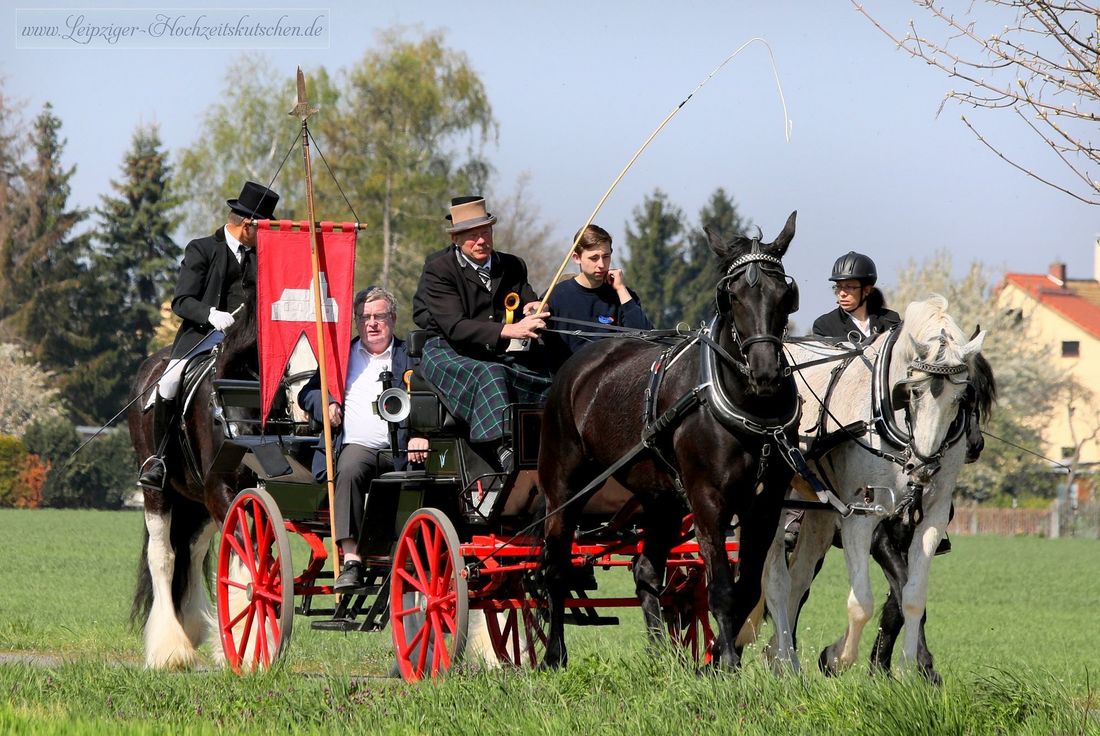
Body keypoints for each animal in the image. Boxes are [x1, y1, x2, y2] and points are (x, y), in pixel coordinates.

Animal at [127, 301, 258, 668]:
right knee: (163, 556)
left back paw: (193, 626)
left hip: (199, 504)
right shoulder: (222, 492)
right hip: (159, 493)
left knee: (193, 551)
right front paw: (246, 648)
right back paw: (169, 648)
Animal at [539, 211, 800, 664]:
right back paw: (555, 654)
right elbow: (721, 589)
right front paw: (727, 664)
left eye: (785, 293)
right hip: (564, 487)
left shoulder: (764, 506)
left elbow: (747, 589)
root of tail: (583, 361)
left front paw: (713, 662)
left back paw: (663, 657)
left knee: (645, 568)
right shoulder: (707, 499)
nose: (766, 373)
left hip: (659, 498)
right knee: (555, 567)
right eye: (731, 296)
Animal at [761, 292, 985, 677]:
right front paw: (836, 657)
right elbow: (862, 602)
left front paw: (910, 670)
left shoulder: (932, 517)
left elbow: (911, 597)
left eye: (961, 399)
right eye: (913, 393)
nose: (923, 467)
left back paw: (781, 657)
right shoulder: (863, 516)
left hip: (819, 515)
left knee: (799, 579)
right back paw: (784, 661)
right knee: (777, 581)